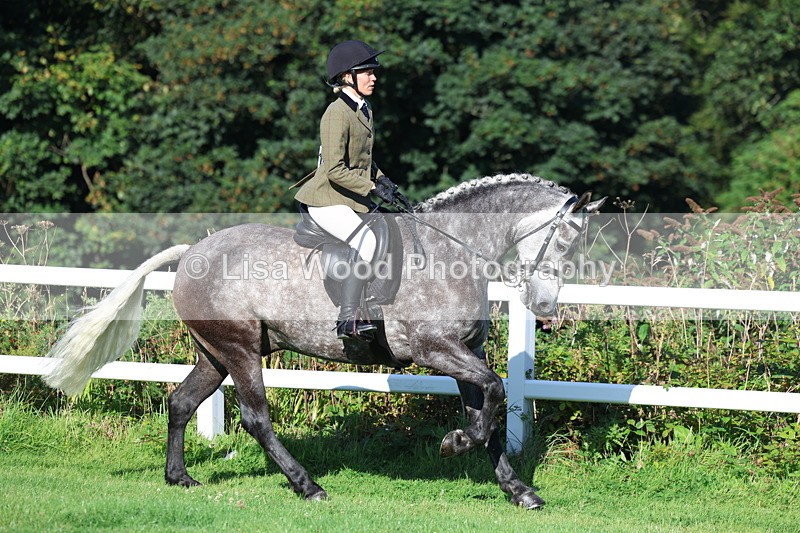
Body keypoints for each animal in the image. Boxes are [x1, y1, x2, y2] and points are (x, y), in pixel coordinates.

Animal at [44, 173, 604, 509]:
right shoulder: (436, 350)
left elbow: (487, 408)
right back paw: (308, 485)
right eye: (566, 238)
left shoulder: (468, 352)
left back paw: (179, 478)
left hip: (215, 353)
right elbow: (494, 395)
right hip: (240, 350)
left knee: (182, 402)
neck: (451, 249)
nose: (546, 308)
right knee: (255, 418)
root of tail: (193, 252)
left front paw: (517, 489)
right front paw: (454, 444)